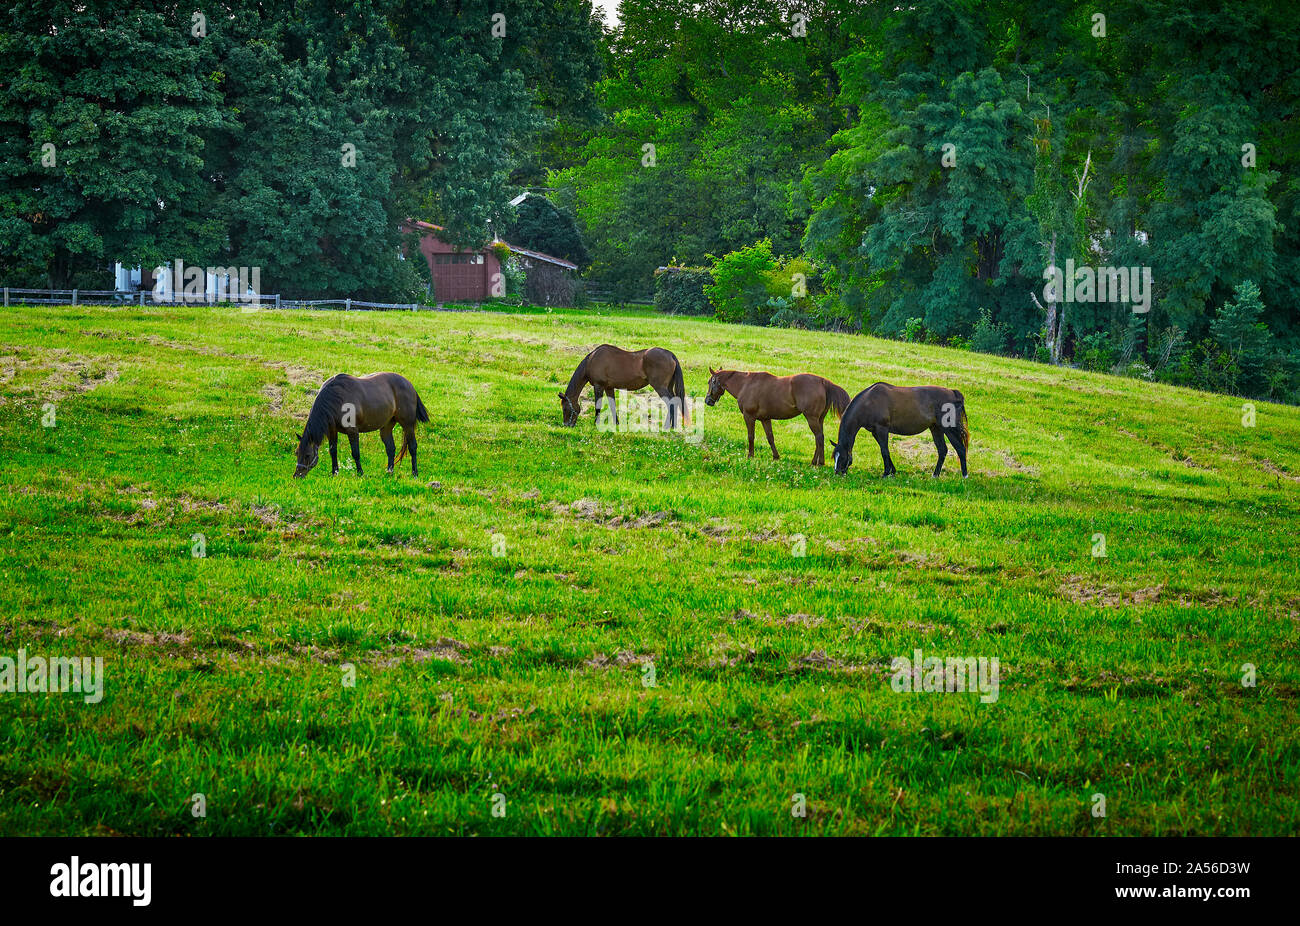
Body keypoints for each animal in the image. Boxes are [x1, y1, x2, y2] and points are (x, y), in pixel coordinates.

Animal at [294, 372, 429, 478]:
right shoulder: (332, 431)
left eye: (307, 455)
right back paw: (389, 472)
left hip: (408, 425)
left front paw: (360, 473)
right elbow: (333, 451)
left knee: (412, 447)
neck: (336, 398)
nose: (297, 475)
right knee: (391, 449)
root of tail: (409, 385)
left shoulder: (353, 431)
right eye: (296, 453)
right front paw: (334, 472)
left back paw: (415, 473)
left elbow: (355, 453)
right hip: (386, 427)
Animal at [558, 344, 688, 429]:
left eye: (565, 408)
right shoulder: (609, 388)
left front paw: (595, 424)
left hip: (660, 387)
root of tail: (670, 354)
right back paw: (673, 426)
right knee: (675, 401)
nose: (566, 425)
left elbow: (598, 406)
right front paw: (617, 423)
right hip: (668, 386)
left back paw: (668, 426)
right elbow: (612, 405)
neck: (592, 360)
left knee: (671, 402)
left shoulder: (598, 386)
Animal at [704, 368, 851, 466]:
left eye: (710, 382)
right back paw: (818, 461)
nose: (708, 401)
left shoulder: (749, 417)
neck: (746, 384)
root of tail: (822, 382)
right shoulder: (765, 419)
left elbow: (751, 436)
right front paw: (776, 457)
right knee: (819, 437)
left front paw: (750, 456)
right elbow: (770, 438)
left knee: (819, 437)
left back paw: (817, 463)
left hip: (812, 418)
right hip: (819, 419)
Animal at [831, 383, 969, 478]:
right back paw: (935, 475)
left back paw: (964, 476)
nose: (837, 473)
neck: (869, 402)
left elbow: (884, 451)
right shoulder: (875, 432)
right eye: (834, 457)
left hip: (949, 429)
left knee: (960, 449)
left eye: (842, 457)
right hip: (936, 428)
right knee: (942, 450)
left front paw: (885, 473)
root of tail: (953, 392)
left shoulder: (882, 429)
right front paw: (892, 471)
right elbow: (885, 450)